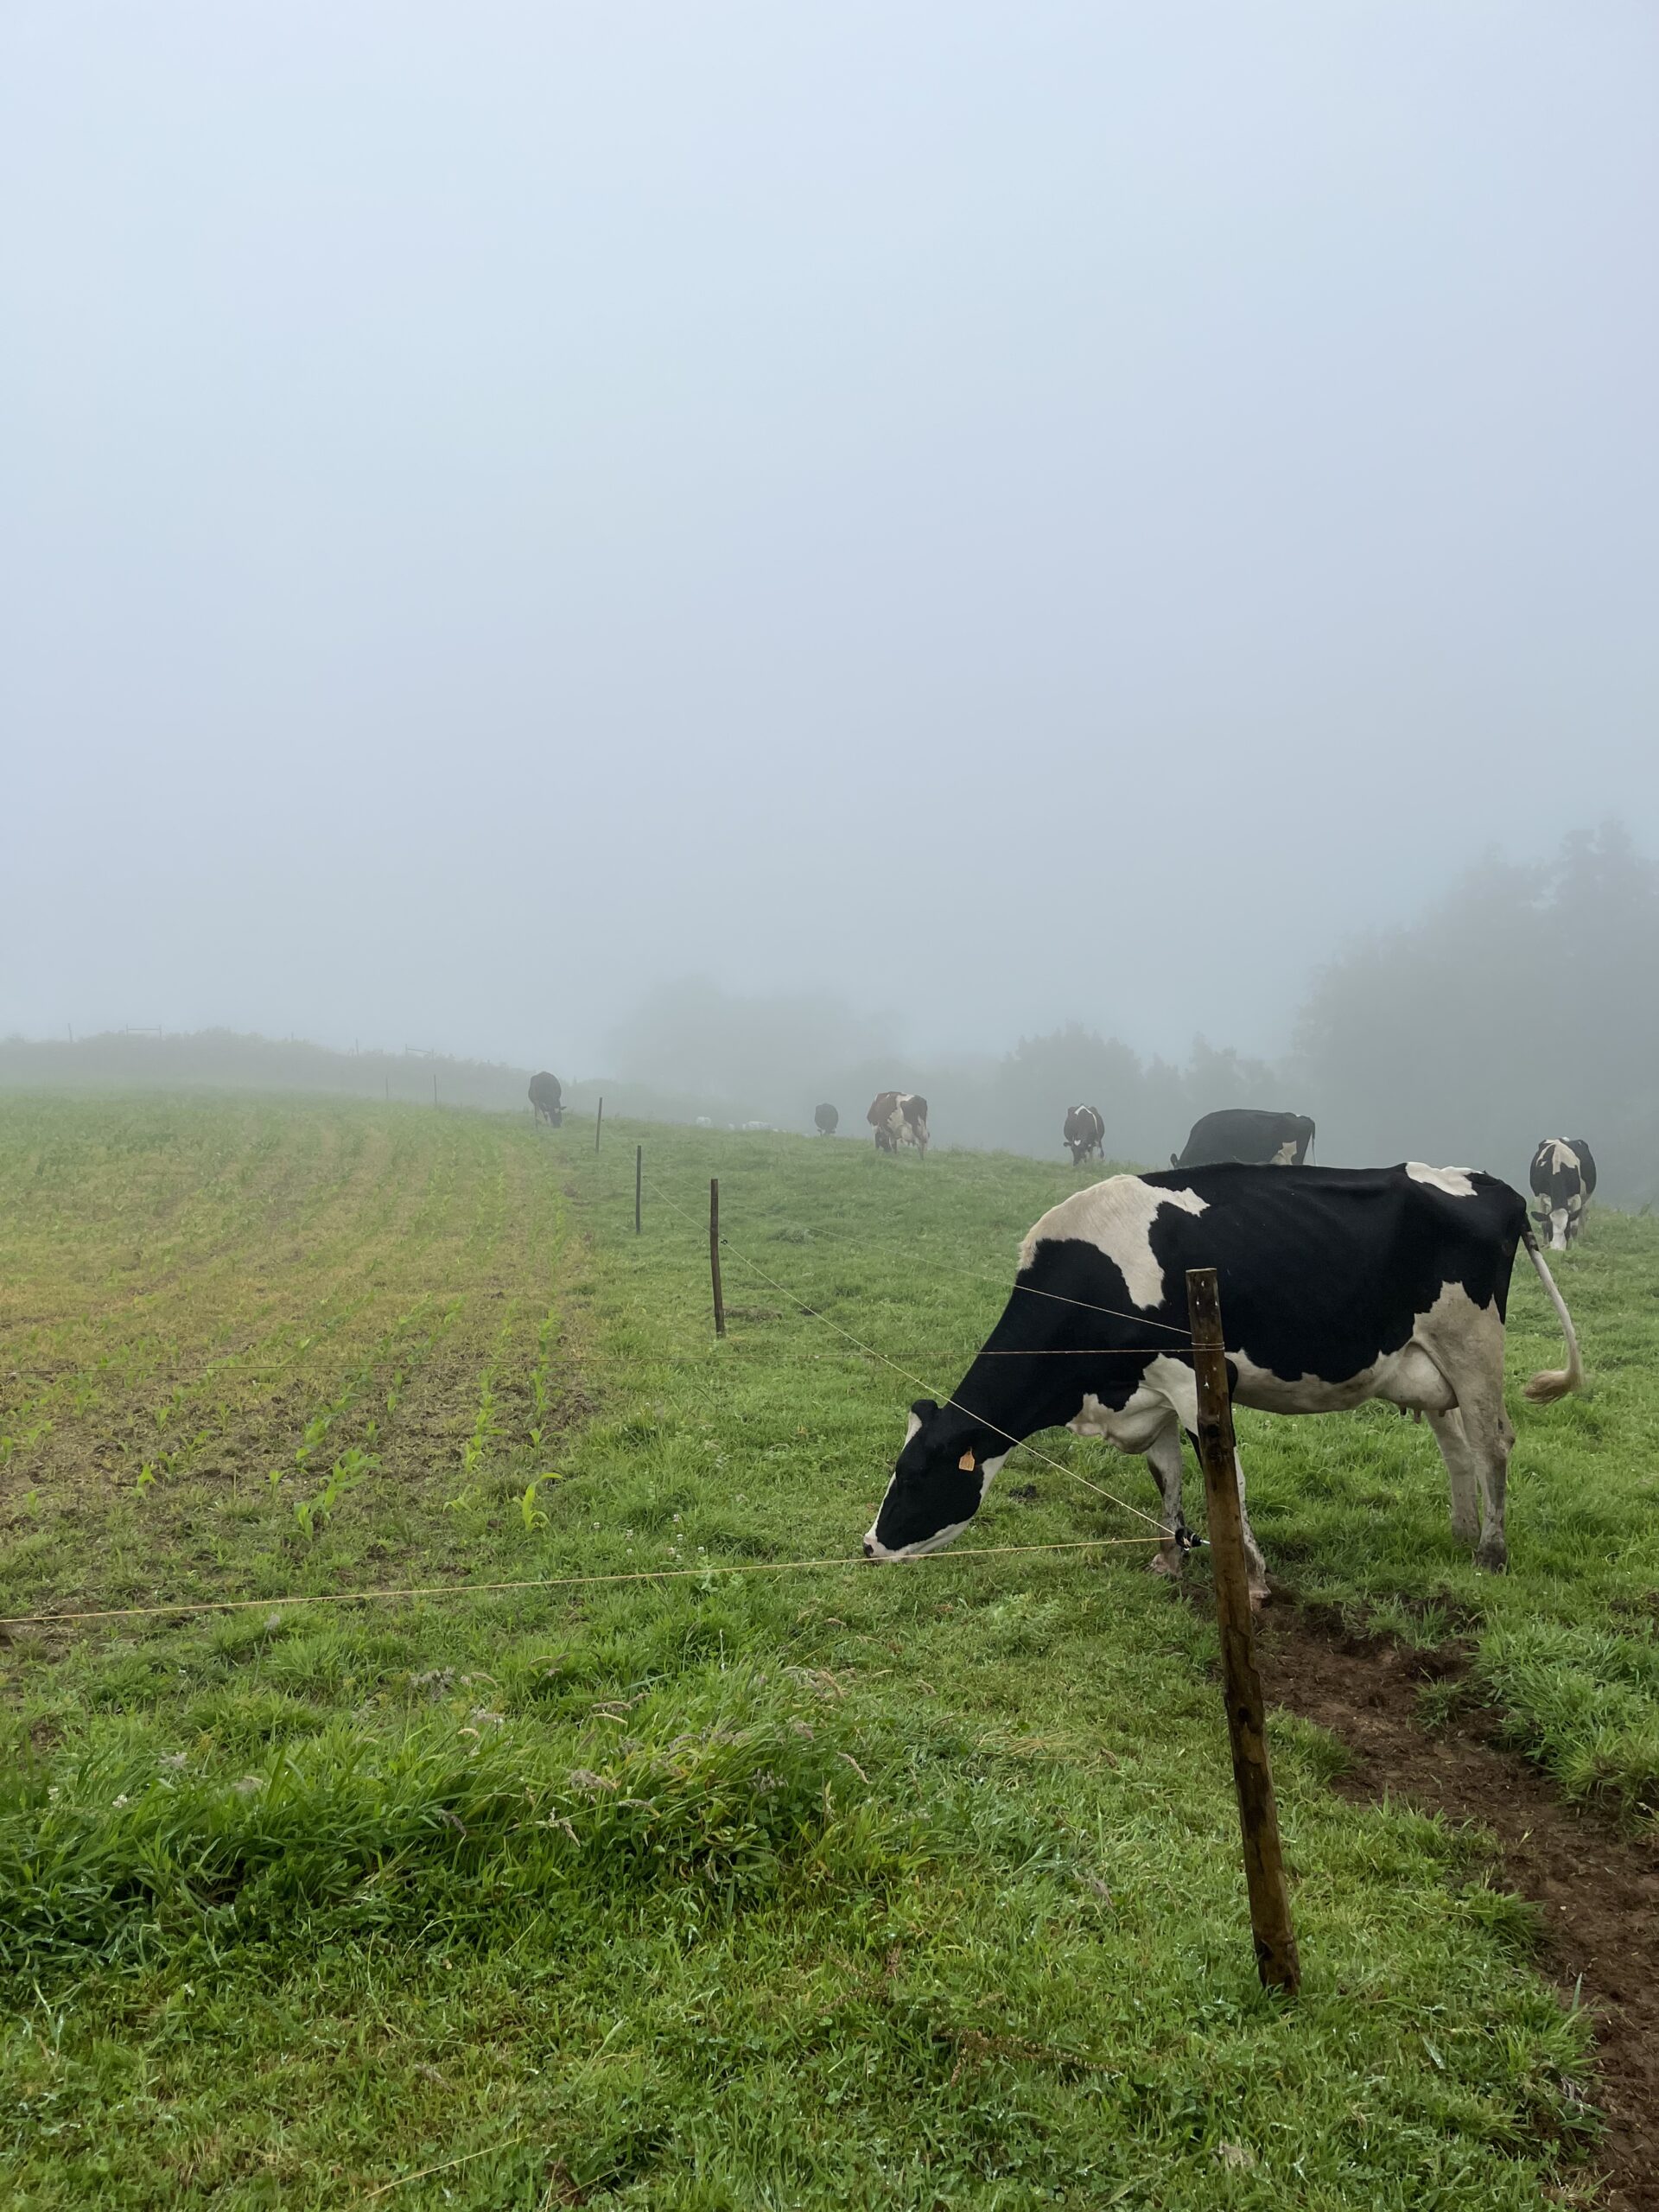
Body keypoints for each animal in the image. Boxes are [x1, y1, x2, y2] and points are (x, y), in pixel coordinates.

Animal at [871, 1159, 1583, 1592]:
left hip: (1474, 1345)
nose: (871, 1547)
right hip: (1427, 1364)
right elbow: (1166, 1476)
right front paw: (1168, 1557)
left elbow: (1226, 1478)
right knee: (1458, 1447)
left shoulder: (1194, 1382)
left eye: (915, 1477)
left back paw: (1491, 1554)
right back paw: (1462, 1535)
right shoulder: (1148, 1392)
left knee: (1493, 1442)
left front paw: (1253, 1577)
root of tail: (1492, 1185)